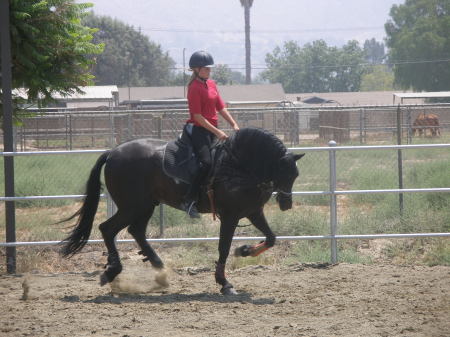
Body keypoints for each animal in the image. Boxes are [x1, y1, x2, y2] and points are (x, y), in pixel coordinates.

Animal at [61, 127, 304, 292]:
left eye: (296, 175)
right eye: (284, 172)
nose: (286, 204)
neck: (238, 166)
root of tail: (113, 153)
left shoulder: (253, 212)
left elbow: (271, 238)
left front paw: (245, 250)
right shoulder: (230, 216)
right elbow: (223, 248)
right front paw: (224, 283)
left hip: (145, 205)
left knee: (135, 231)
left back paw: (159, 268)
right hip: (132, 206)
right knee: (108, 229)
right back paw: (113, 271)